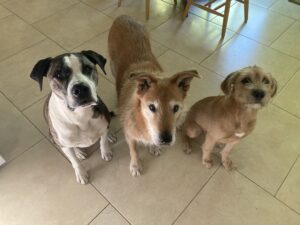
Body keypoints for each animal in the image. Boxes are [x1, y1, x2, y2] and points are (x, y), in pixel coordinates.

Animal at [30, 51, 115, 185]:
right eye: (58, 75)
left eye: (87, 68)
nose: (81, 89)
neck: (80, 115)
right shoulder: (64, 145)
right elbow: (75, 162)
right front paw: (81, 174)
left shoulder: (103, 124)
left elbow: (103, 141)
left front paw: (106, 151)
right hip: (53, 137)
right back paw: (79, 152)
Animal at [108, 15, 199, 176]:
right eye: (151, 107)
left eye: (176, 108)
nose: (166, 139)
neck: (142, 119)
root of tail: (123, 17)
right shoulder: (129, 136)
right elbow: (133, 150)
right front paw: (135, 164)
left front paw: (154, 147)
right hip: (113, 67)